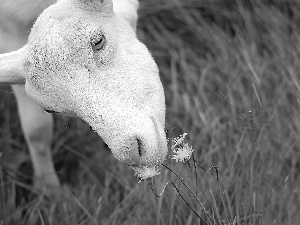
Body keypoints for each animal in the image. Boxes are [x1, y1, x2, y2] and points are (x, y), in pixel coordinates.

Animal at [0, 0, 166, 186]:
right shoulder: (11, 27)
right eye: (50, 110)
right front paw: (47, 185)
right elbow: (36, 130)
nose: (134, 154)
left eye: (98, 41)